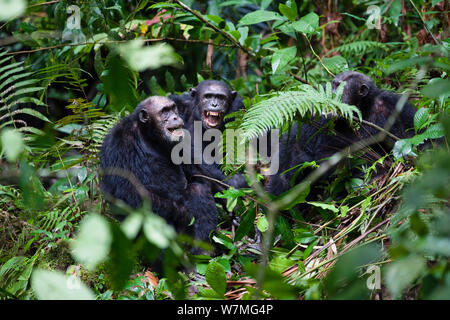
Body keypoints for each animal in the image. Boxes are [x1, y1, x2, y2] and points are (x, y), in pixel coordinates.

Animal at [100, 96, 218, 241]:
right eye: (164, 111)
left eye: (173, 108)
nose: (175, 116)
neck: (149, 136)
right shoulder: (119, 144)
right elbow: (128, 190)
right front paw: (183, 213)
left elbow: (199, 170)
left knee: (198, 188)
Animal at [266, 72, 416, 198]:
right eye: (332, 84)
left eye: (339, 86)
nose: (331, 94)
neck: (361, 109)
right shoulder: (318, 117)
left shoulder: (392, 102)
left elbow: (411, 132)